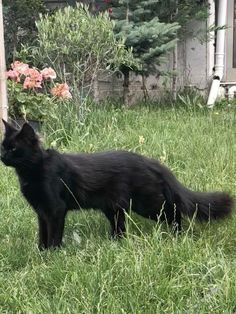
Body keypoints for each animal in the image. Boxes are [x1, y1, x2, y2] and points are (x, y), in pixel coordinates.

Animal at [0, 120, 234, 250]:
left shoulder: (55, 209)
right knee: (121, 229)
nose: (2, 156)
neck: (32, 170)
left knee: (173, 212)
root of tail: (150, 162)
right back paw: (114, 243)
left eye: (13, 149)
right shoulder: (42, 212)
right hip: (113, 208)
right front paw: (41, 253)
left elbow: (54, 234)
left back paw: (178, 235)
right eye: (3, 146)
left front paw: (52, 254)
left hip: (146, 204)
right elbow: (43, 233)